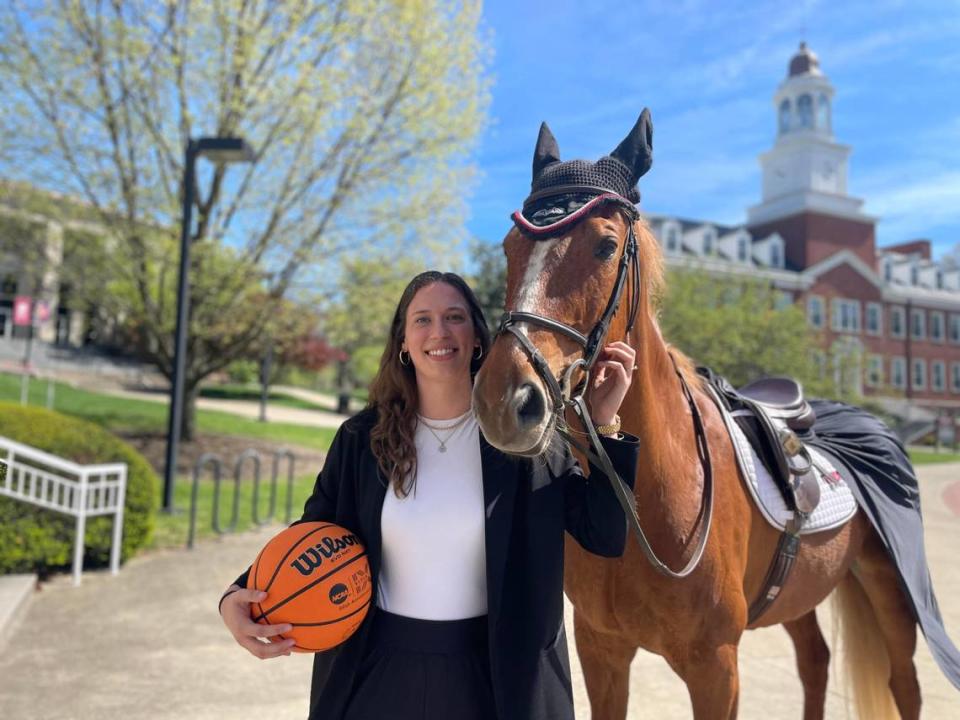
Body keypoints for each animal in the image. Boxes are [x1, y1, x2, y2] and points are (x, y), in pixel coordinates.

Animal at [470, 109, 952, 716]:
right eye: (510, 247)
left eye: (605, 246)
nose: (502, 400)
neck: (647, 491)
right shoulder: (602, 651)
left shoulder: (716, 667)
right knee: (815, 661)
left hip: (891, 588)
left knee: (903, 684)